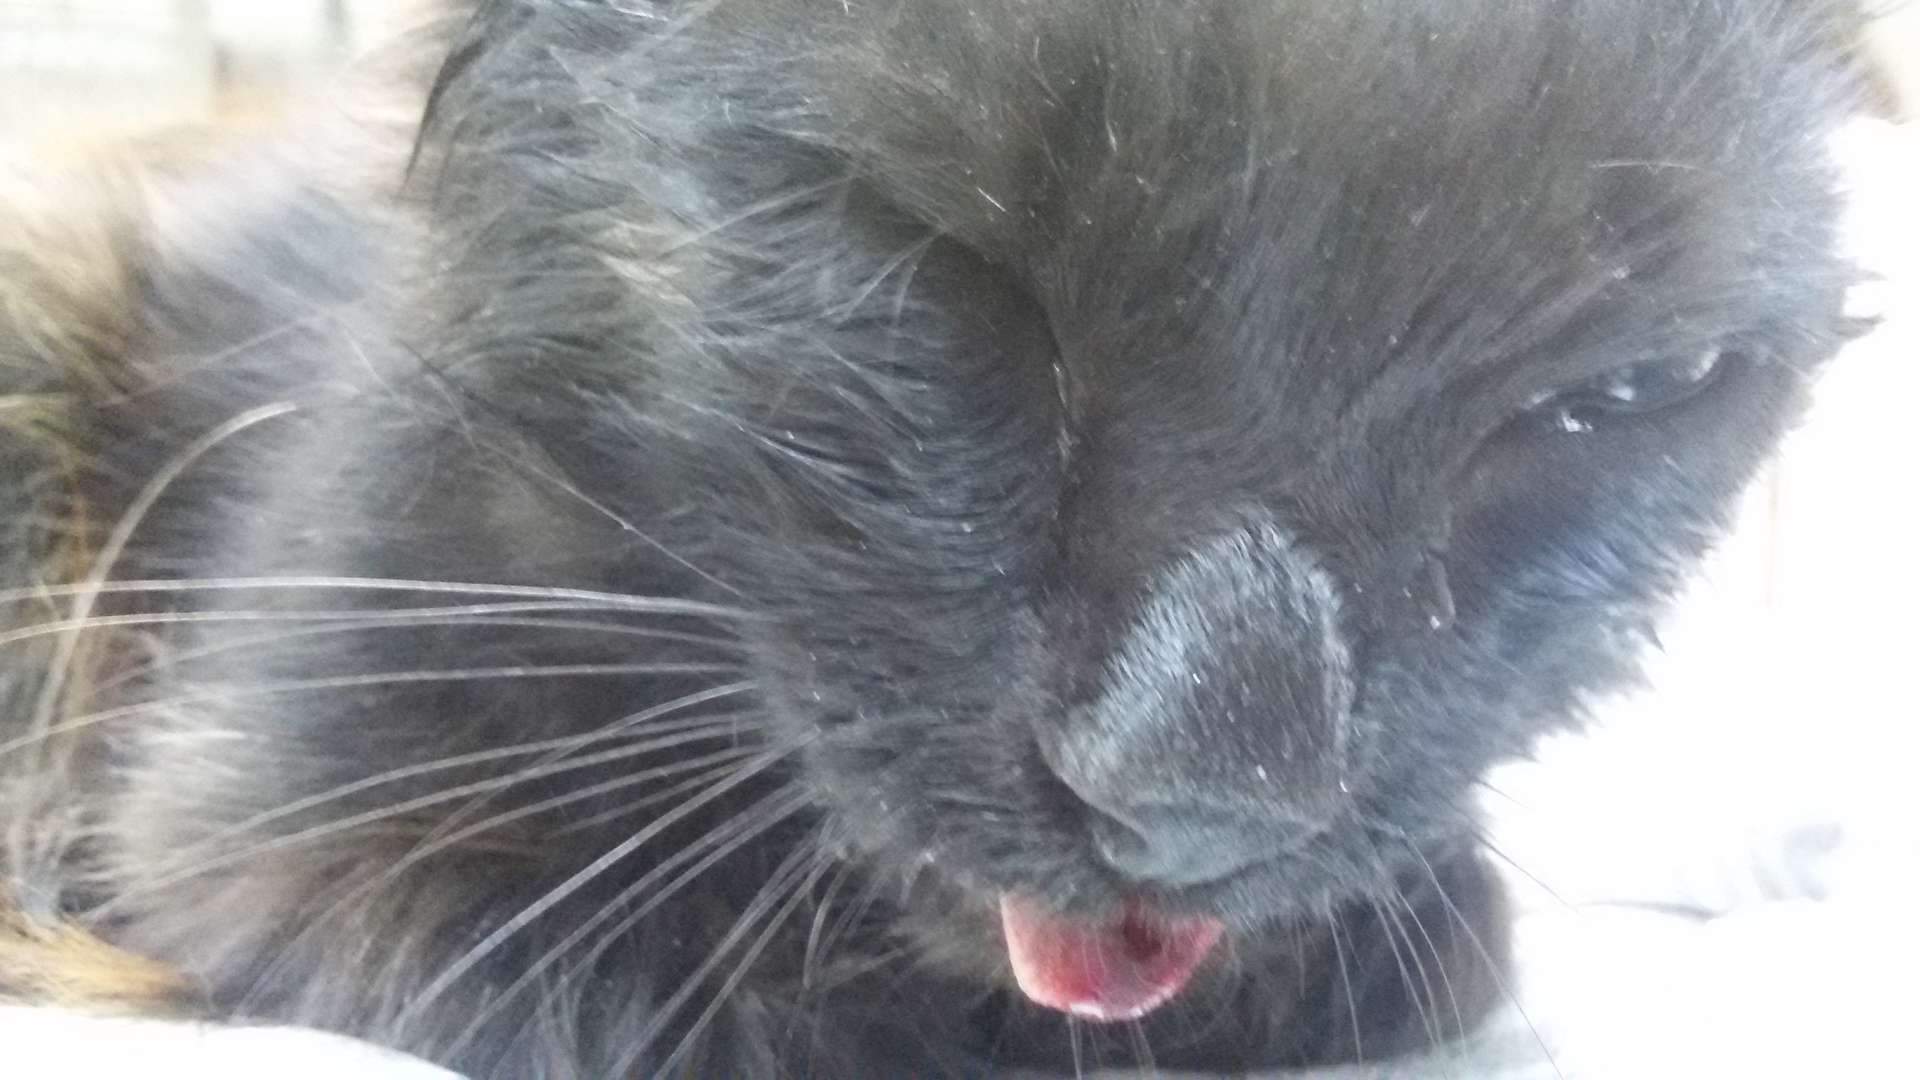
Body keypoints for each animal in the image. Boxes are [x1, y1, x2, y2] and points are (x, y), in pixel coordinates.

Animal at [0, 1, 1873, 1076]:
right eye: (933, 259)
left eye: (1620, 396)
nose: (1194, 796)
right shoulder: (268, 826)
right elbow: (653, 1004)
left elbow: (1442, 941)